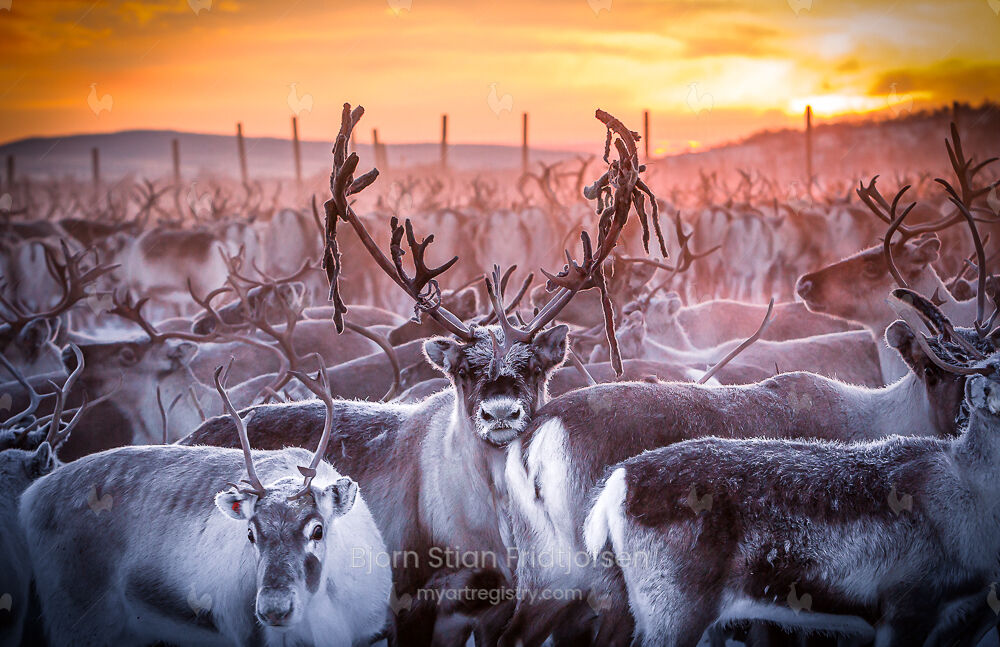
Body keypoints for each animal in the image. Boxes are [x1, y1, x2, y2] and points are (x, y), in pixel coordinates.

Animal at [18, 363, 391, 647]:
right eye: (250, 534)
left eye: (317, 529)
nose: (274, 609)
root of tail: (31, 496)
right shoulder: (247, 633)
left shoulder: (368, 632)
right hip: (77, 618)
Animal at [180, 103, 665, 646]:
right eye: (464, 370)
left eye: (533, 366)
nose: (501, 412)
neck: (488, 522)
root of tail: (190, 434)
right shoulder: (410, 599)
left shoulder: (494, 604)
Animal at [498, 288, 995, 647]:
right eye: (933, 370)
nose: (968, 416)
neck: (877, 416)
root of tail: (540, 434)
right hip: (612, 584)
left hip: (547, 572)